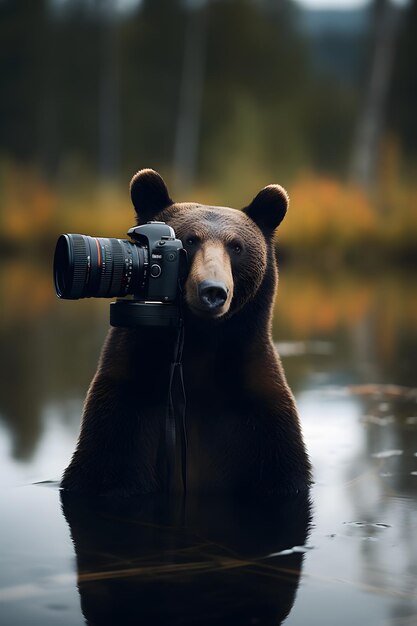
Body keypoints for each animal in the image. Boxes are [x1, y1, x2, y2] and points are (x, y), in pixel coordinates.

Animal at [61, 168, 308, 494]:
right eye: (190, 241)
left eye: (236, 246)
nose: (212, 291)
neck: (198, 344)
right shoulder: (126, 405)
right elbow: (104, 466)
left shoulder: (258, 413)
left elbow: (281, 467)